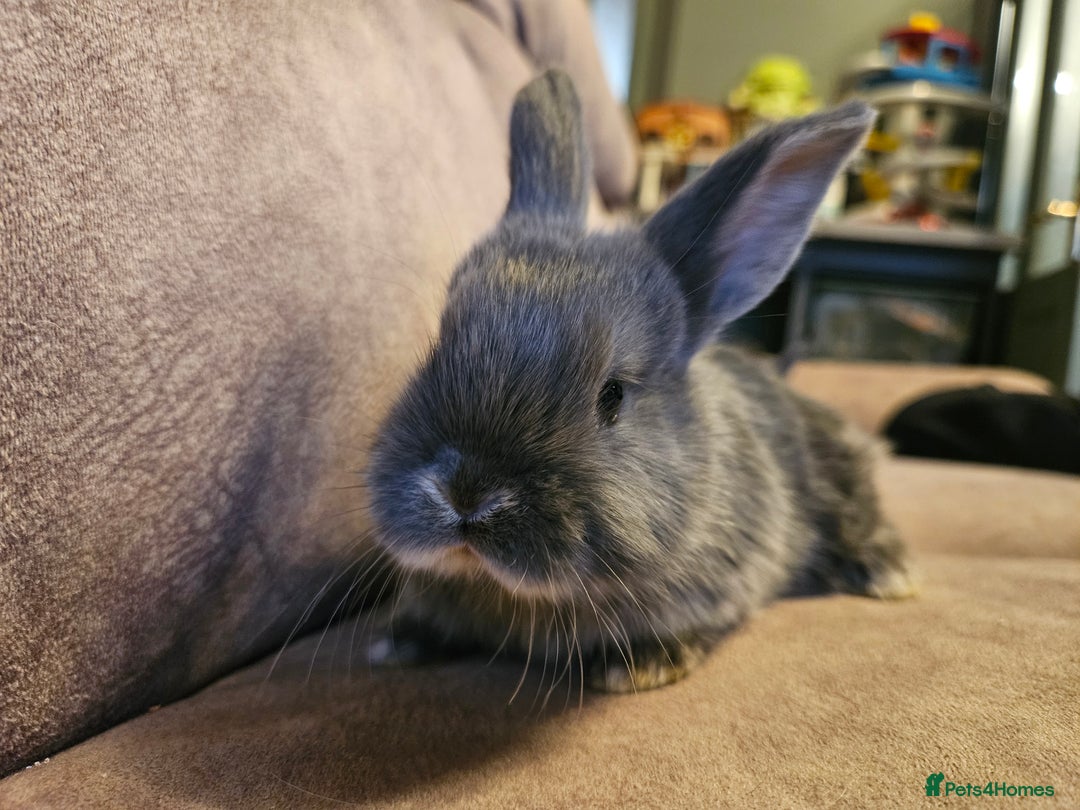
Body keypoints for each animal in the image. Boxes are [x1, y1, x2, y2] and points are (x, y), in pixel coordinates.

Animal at [363, 69, 916, 694]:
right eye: (438, 347)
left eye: (614, 395)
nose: (467, 495)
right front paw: (393, 643)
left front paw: (645, 666)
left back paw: (887, 575)